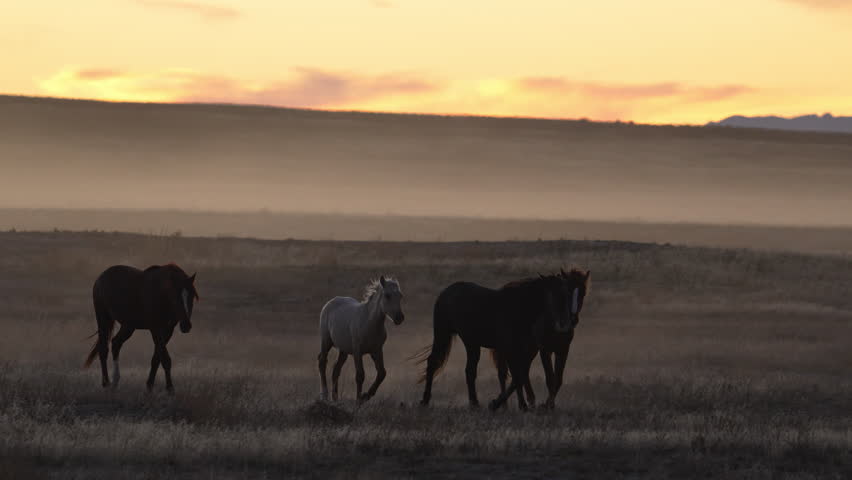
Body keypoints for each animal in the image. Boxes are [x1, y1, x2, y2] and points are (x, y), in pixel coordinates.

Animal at [84, 264, 199, 393]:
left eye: (192, 297)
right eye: (175, 298)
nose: (186, 325)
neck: (161, 295)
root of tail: (100, 278)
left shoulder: (168, 330)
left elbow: (156, 358)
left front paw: (149, 386)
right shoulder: (155, 329)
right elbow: (165, 359)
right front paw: (170, 389)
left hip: (128, 325)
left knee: (116, 343)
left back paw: (115, 381)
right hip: (103, 318)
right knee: (103, 349)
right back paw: (106, 383)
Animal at [416, 273, 573, 411]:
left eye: (567, 295)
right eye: (552, 295)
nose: (564, 324)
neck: (518, 309)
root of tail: (445, 292)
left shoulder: (523, 351)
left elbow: (518, 376)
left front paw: (511, 405)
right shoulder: (511, 350)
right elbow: (517, 376)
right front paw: (505, 404)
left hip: (472, 343)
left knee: (469, 371)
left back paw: (474, 403)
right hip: (444, 334)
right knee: (434, 362)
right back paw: (425, 400)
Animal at [493, 268, 591, 409]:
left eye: (583, 293)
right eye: (566, 293)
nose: (573, 319)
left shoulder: (563, 350)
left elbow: (558, 379)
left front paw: (549, 404)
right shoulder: (545, 350)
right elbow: (550, 379)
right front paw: (547, 405)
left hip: (529, 349)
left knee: (522, 371)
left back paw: (530, 400)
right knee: (509, 370)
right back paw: (511, 404)